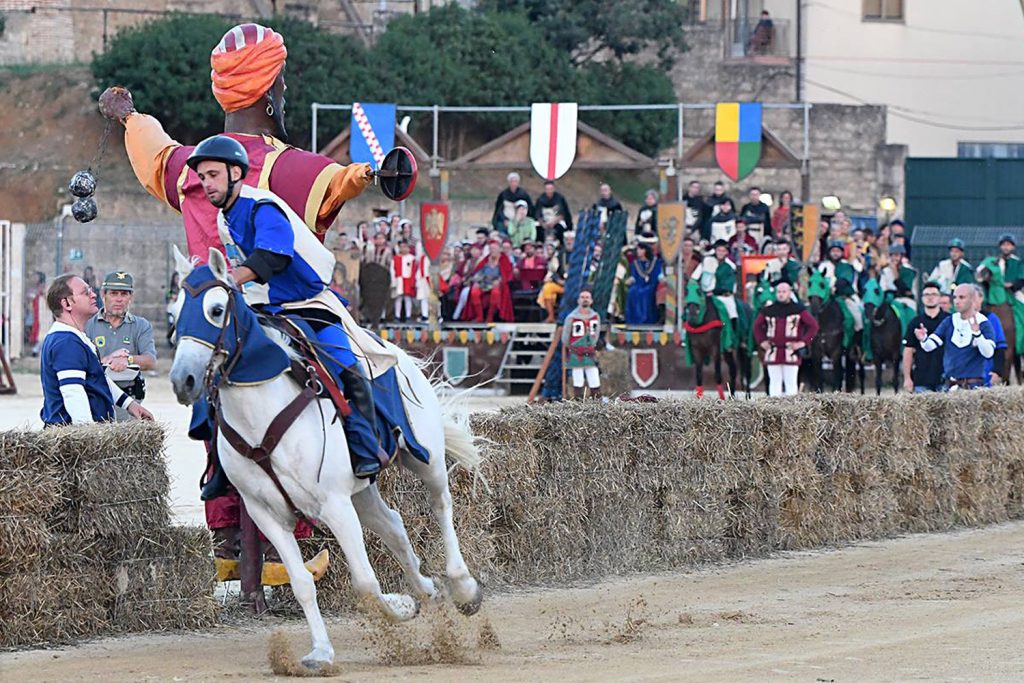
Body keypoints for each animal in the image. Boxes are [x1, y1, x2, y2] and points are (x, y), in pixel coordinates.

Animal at [168, 248, 483, 671]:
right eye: (175, 312)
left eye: (216, 310)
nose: (182, 380)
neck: (262, 412)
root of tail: (398, 352)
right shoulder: (267, 514)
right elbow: (303, 583)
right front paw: (323, 650)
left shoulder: (334, 505)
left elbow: (365, 583)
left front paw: (398, 607)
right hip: (362, 494)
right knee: (395, 527)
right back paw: (427, 590)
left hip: (425, 458)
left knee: (441, 504)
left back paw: (463, 588)